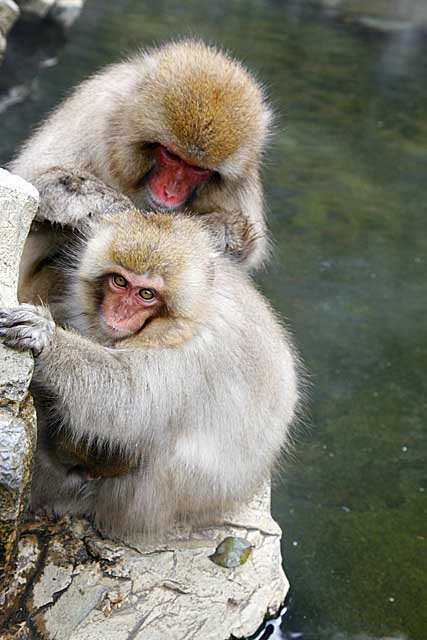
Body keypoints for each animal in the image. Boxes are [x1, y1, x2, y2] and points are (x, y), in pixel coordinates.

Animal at [0, 212, 300, 536]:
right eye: (120, 281)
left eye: (146, 294)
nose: (119, 313)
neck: (193, 313)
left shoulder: (195, 354)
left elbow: (128, 403)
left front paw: (48, 340)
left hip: (155, 503)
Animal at [10, 40, 274, 302]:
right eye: (171, 155)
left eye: (198, 169)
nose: (170, 192)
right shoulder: (97, 112)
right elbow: (40, 181)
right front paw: (120, 210)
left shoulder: (244, 173)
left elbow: (244, 247)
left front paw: (218, 231)